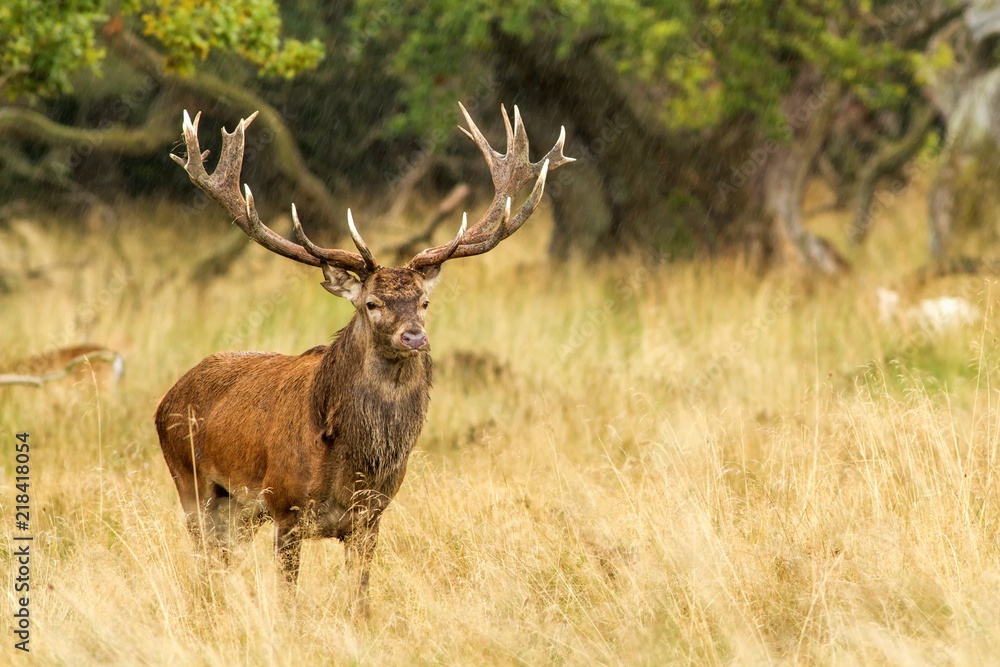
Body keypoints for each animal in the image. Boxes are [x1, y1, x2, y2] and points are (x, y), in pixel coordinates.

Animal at [158, 103, 572, 616]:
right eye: (372, 303)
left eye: (424, 302)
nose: (414, 336)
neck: (352, 466)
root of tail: (166, 398)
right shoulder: (285, 508)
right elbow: (288, 600)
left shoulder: (370, 517)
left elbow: (360, 598)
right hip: (192, 486)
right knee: (203, 562)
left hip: (238, 512)